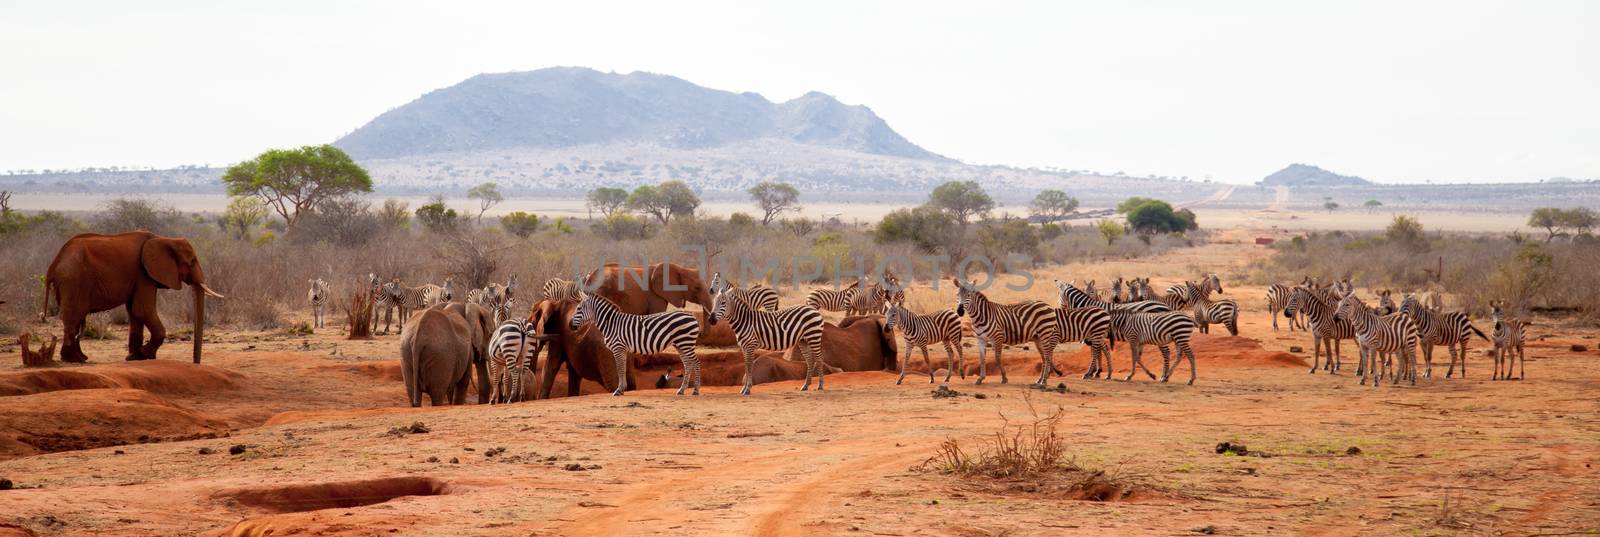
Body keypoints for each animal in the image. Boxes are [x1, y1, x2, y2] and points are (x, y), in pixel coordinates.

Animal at [572, 287, 704, 396]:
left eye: (578, 308)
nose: (570, 326)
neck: (611, 324)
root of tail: (692, 316)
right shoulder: (622, 349)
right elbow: (623, 368)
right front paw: (622, 389)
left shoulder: (618, 348)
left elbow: (620, 369)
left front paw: (618, 390)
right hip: (680, 344)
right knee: (688, 364)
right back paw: (681, 390)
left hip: (685, 343)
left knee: (696, 363)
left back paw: (696, 390)